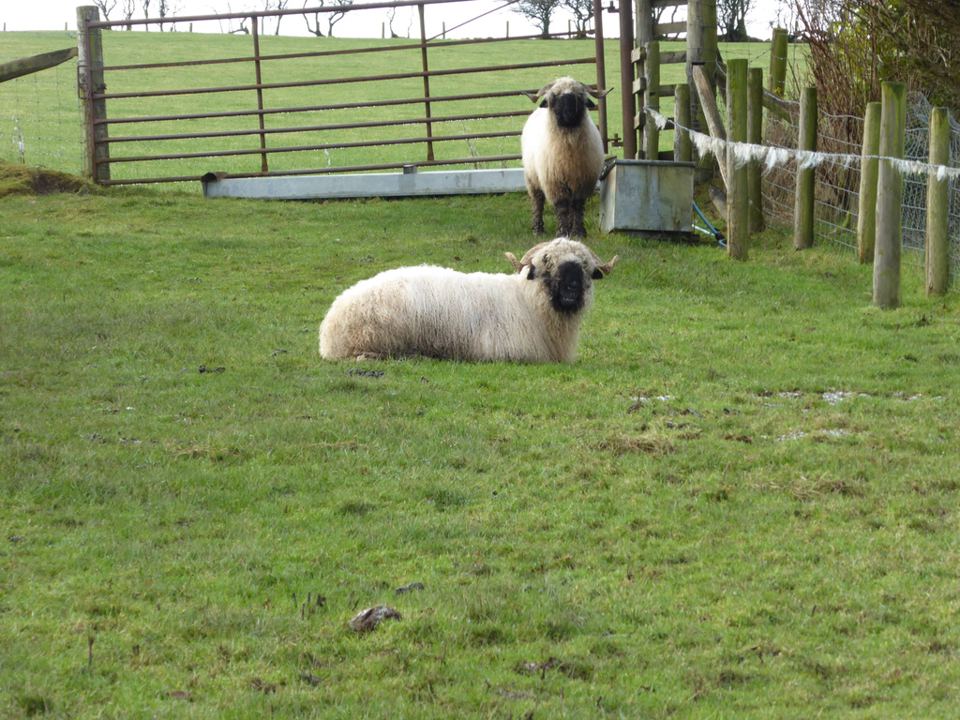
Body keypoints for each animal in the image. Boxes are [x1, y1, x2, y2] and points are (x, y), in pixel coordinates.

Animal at [521, 76, 610, 238]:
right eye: (553, 96)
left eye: (580, 96)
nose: (569, 114)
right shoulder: (554, 182)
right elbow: (562, 207)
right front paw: (562, 232)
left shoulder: (582, 180)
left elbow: (577, 206)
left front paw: (578, 232)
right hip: (532, 178)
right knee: (538, 201)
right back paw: (538, 229)